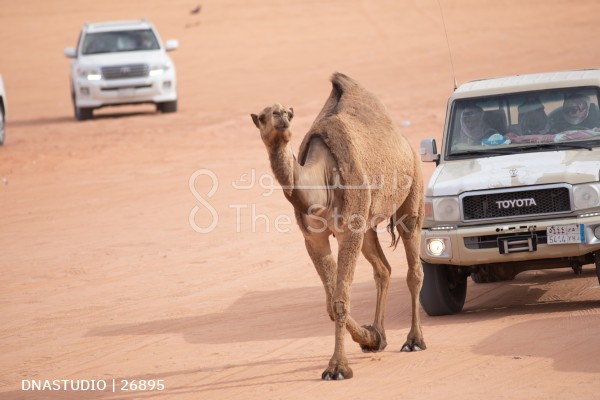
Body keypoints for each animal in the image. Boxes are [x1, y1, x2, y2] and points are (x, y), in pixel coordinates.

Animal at [251, 72, 424, 382]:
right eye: (262, 116)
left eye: (288, 113)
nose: (280, 117)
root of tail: (405, 142)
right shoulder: (314, 238)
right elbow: (332, 303)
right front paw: (369, 337)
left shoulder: (348, 231)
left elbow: (340, 300)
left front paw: (338, 368)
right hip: (367, 225)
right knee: (383, 269)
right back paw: (379, 335)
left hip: (412, 189)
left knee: (413, 266)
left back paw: (414, 340)